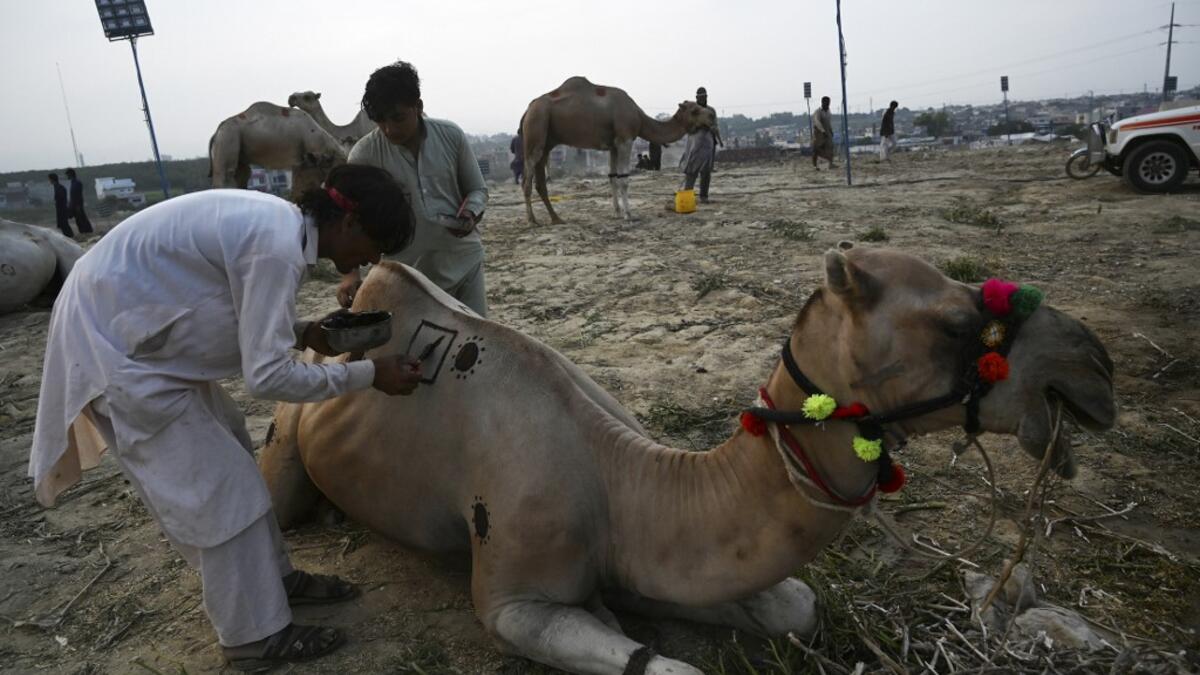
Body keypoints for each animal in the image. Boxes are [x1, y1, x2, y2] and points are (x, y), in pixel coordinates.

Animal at [260, 247, 1115, 674]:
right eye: (956, 322)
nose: (1095, 368)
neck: (620, 479)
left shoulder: (643, 557)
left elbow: (795, 604)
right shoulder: (512, 600)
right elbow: (672, 666)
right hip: (286, 424)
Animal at [520, 77, 716, 224]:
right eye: (695, 110)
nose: (712, 116)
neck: (639, 117)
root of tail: (528, 109)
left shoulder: (613, 146)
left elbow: (612, 178)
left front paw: (617, 212)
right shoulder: (625, 140)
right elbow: (623, 179)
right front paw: (629, 215)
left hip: (546, 140)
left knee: (540, 181)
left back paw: (556, 219)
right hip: (537, 125)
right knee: (527, 179)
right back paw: (532, 221)